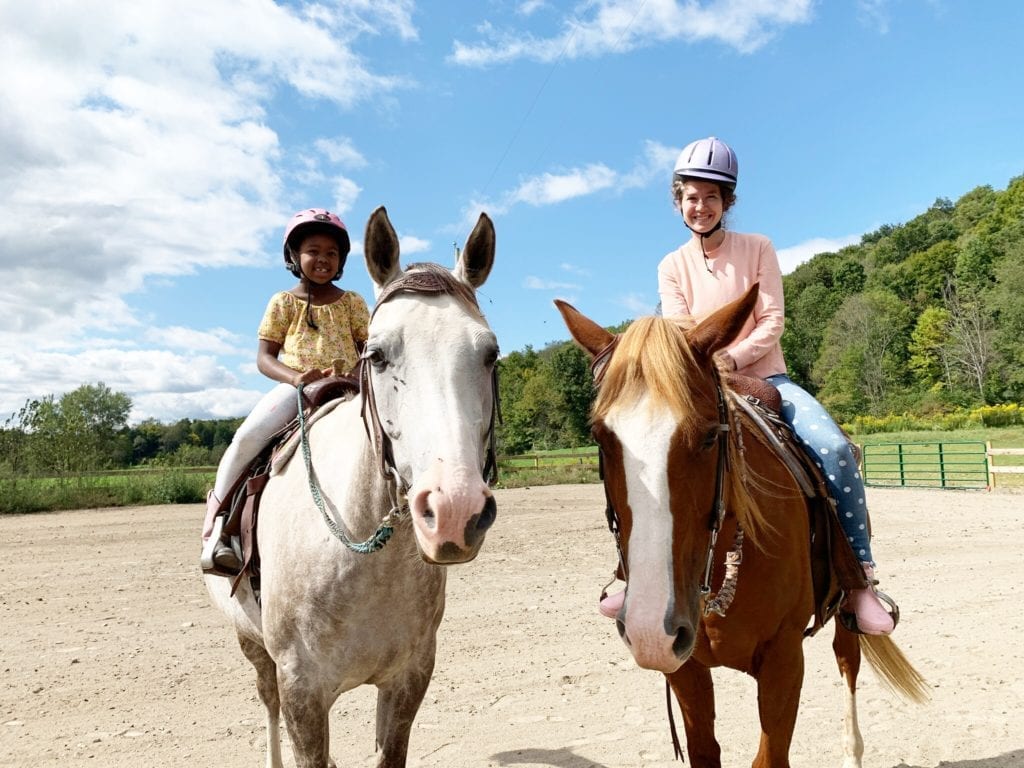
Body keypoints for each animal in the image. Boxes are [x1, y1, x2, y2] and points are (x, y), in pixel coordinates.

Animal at [204, 205, 499, 768]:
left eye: (490, 354)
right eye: (377, 354)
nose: (453, 510)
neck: (361, 554)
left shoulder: (409, 679)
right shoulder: (302, 693)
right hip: (251, 645)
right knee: (266, 701)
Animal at [561, 286, 929, 768]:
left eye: (708, 435)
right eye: (602, 438)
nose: (650, 628)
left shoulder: (784, 660)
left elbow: (770, 756)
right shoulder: (686, 669)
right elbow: (705, 749)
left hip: (847, 611)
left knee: (847, 663)